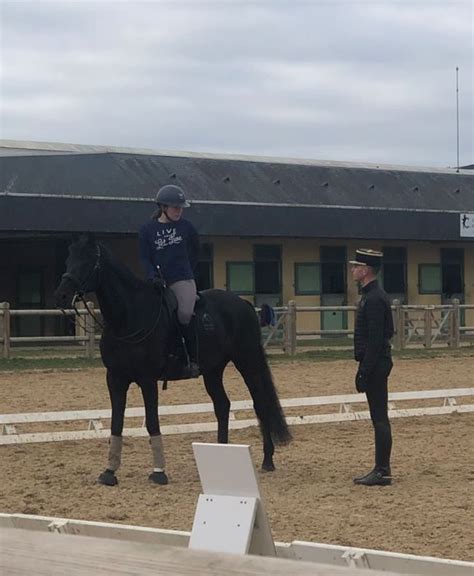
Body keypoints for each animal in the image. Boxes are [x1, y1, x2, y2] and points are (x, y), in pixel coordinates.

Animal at [53, 235, 290, 486]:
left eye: (88, 261)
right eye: (69, 259)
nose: (61, 296)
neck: (129, 317)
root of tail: (243, 303)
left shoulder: (147, 380)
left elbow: (152, 422)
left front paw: (159, 472)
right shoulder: (115, 379)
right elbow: (116, 423)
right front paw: (109, 472)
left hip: (247, 361)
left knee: (259, 403)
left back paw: (267, 460)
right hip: (213, 370)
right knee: (222, 405)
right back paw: (219, 455)